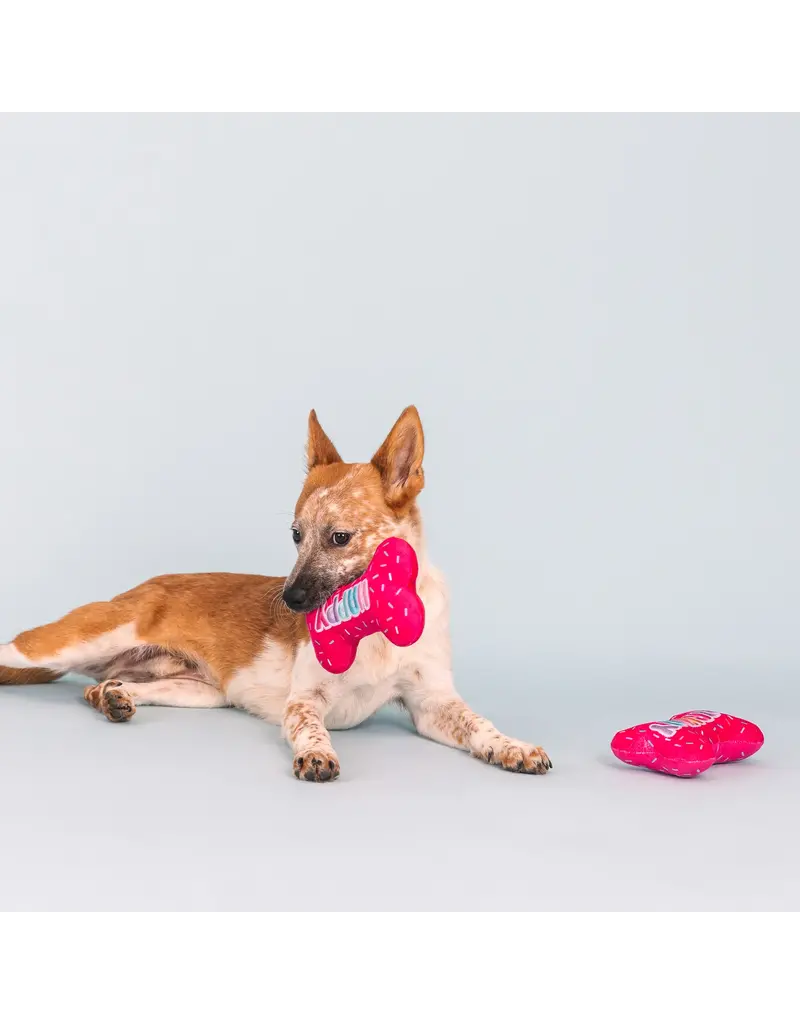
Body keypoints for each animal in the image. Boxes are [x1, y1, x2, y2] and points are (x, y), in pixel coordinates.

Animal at [0, 407, 551, 782]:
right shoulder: (305, 700)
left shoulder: (432, 704)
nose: (289, 601)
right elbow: (310, 726)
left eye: (339, 537)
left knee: (112, 685)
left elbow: (479, 723)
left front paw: (512, 746)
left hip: (201, 692)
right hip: (67, 642)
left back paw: (110, 697)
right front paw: (318, 753)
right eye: (295, 535)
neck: (375, 619)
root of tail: (145, 585)